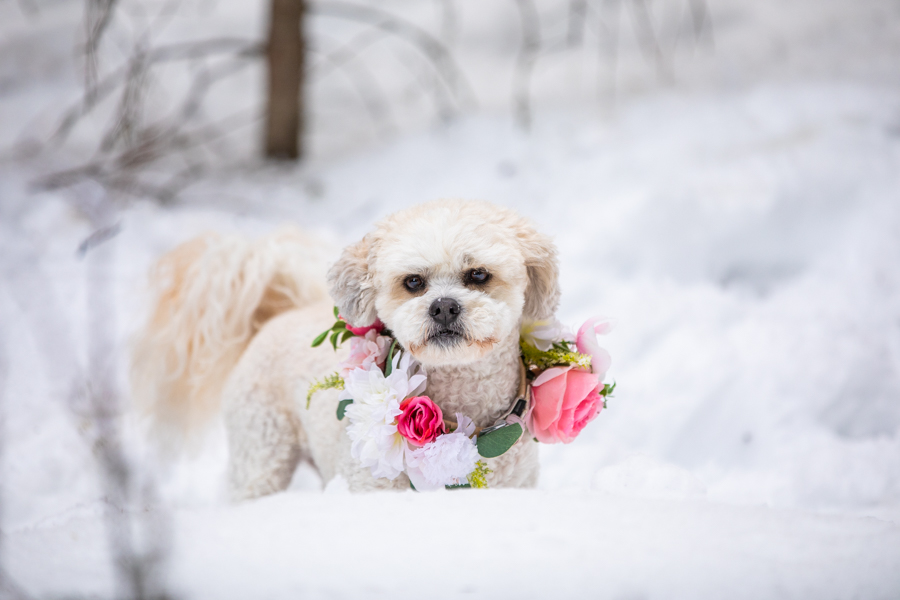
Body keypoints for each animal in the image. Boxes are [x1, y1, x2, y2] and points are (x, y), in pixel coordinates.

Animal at [134, 199, 560, 500]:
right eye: (413, 282)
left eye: (479, 274)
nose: (443, 307)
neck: (462, 413)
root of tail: (277, 316)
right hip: (261, 453)